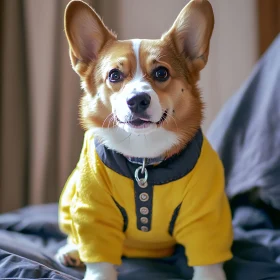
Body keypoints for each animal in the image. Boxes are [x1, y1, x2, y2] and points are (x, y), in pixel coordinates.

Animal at [55, 0, 233, 280]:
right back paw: (71, 251)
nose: (138, 100)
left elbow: (208, 263)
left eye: (161, 73)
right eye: (114, 75)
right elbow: (99, 258)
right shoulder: (92, 209)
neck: (144, 158)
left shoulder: (206, 215)